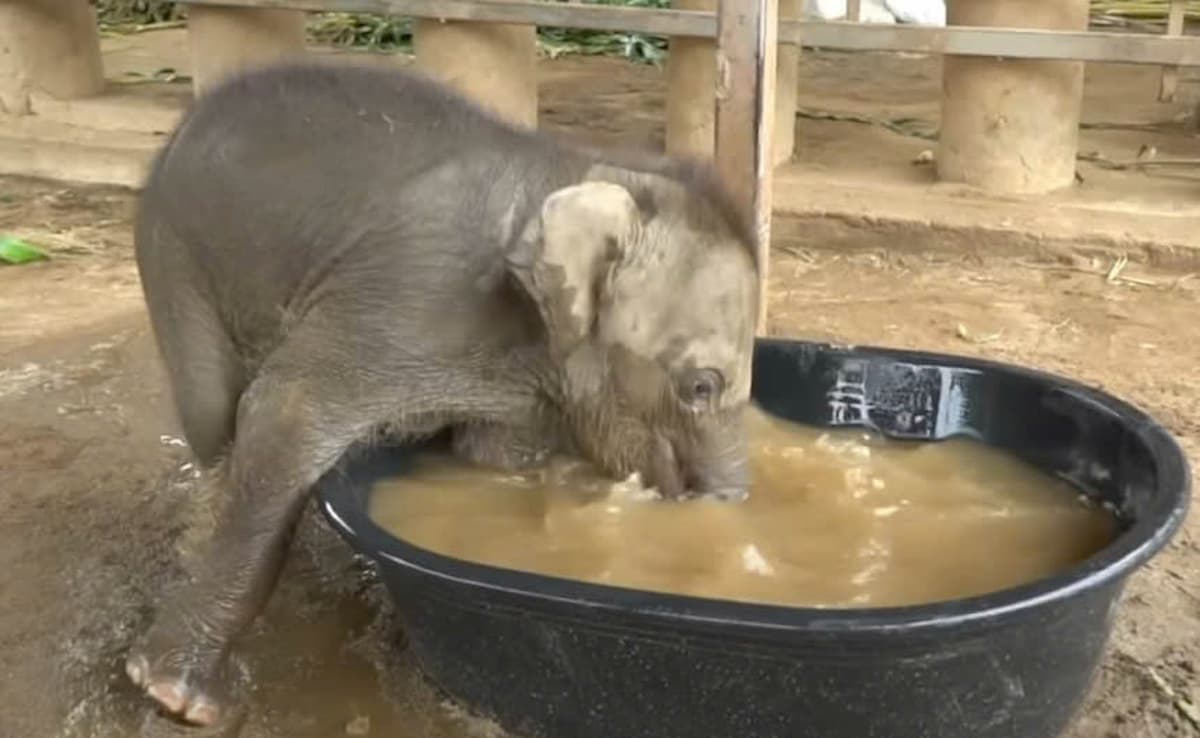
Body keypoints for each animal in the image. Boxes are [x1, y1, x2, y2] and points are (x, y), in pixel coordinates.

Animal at [129, 59, 758, 729]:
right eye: (701, 386)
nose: (716, 520)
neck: (582, 169)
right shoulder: (409, 297)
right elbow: (287, 411)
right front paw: (180, 699)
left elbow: (495, 454)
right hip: (174, 255)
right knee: (211, 417)